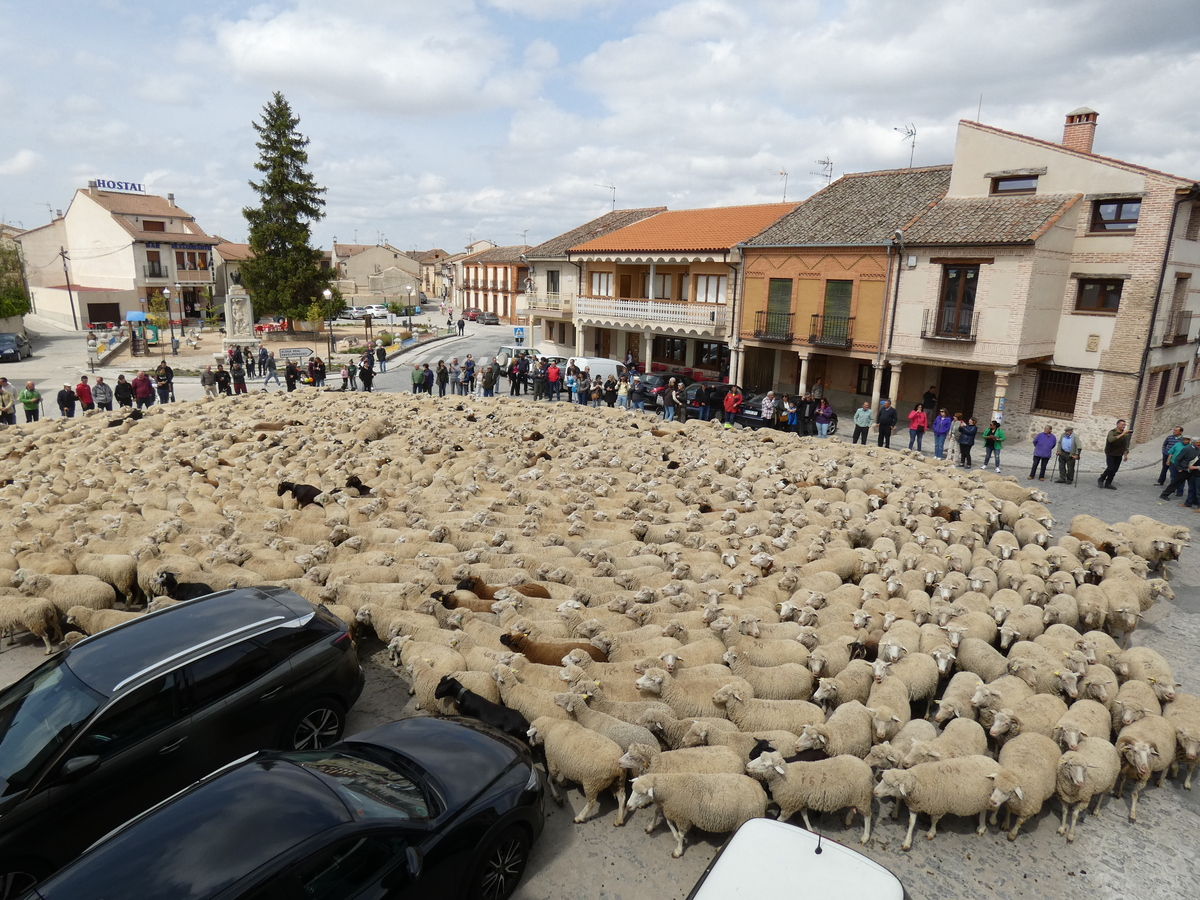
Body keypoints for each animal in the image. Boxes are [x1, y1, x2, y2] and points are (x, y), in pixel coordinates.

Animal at [628, 777, 768, 859]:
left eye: (641, 794)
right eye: (632, 790)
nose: (628, 806)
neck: (671, 787)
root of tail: (762, 792)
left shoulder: (683, 817)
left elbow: (680, 834)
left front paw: (678, 850)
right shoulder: (671, 809)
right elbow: (661, 816)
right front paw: (651, 827)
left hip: (745, 817)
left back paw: (719, 849)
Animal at [744, 753, 878, 844]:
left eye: (764, 765)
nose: (747, 766)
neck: (786, 776)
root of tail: (867, 766)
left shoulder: (789, 805)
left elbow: (780, 820)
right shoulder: (800, 801)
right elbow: (804, 816)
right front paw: (810, 829)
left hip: (863, 796)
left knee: (867, 816)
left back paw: (865, 837)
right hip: (856, 796)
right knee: (852, 808)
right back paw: (848, 820)